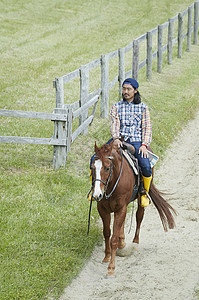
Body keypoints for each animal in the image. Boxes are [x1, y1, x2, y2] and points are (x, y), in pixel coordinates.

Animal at [90, 141, 176, 276]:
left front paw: (111, 268)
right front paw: (106, 257)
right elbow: (107, 233)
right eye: (93, 168)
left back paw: (134, 244)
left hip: (140, 199)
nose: (97, 195)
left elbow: (113, 238)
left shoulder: (121, 208)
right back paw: (123, 243)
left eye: (107, 168)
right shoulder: (102, 208)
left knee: (139, 217)